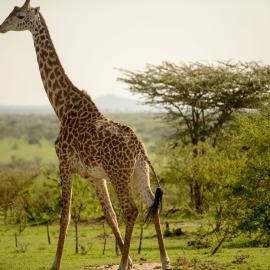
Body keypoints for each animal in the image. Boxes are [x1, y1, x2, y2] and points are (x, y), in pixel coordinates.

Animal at [0, 0, 171, 270]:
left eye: (19, 16)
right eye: (10, 12)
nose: (1, 27)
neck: (62, 108)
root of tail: (139, 147)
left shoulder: (65, 163)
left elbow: (65, 216)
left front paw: (55, 264)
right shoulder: (95, 176)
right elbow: (109, 216)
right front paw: (130, 260)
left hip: (119, 174)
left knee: (131, 210)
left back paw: (123, 265)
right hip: (139, 172)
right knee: (150, 204)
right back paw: (164, 261)